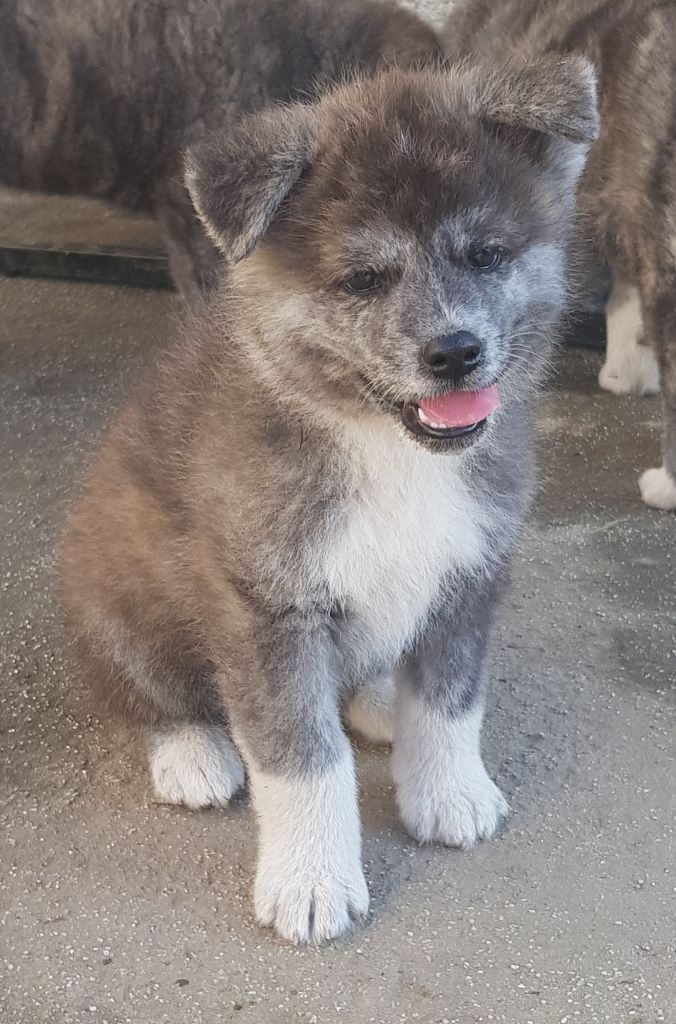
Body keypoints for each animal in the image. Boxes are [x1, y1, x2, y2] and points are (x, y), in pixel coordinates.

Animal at [58, 61, 598, 943]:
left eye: (487, 254)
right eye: (363, 280)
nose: (455, 352)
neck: (386, 449)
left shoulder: (469, 571)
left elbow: (450, 702)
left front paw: (447, 792)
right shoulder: (266, 609)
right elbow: (304, 759)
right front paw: (310, 881)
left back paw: (377, 700)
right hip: (114, 597)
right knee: (146, 695)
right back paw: (192, 754)